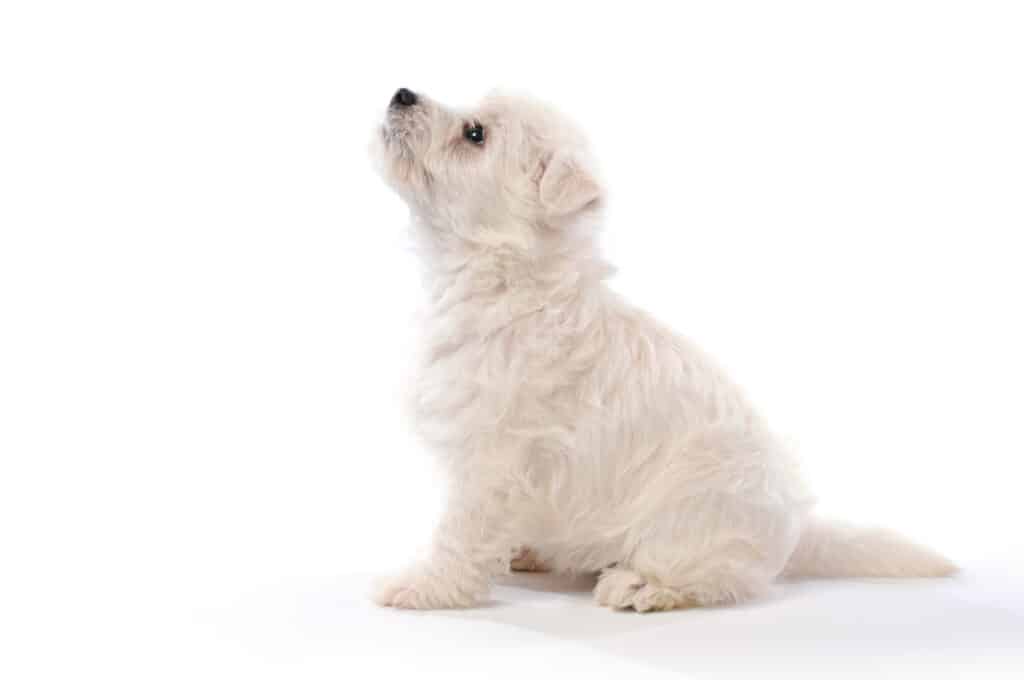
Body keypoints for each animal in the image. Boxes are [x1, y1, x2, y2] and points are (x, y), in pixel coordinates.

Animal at [370, 87, 958, 614]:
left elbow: (458, 533)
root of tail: (795, 532)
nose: (402, 93)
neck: (503, 278)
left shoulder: (492, 457)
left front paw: (423, 588)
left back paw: (638, 586)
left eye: (475, 134)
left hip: (692, 516)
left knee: (715, 577)